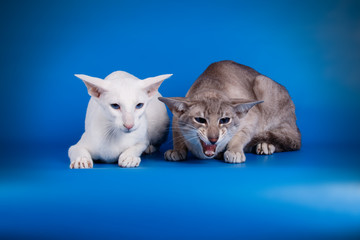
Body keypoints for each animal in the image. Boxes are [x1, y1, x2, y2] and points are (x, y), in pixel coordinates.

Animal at [160, 60, 300, 163]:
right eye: (200, 120)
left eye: (224, 120)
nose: (213, 139)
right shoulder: (175, 120)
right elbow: (177, 136)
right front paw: (177, 151)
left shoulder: (251, 119)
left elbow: (240, 136)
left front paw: (234, 151)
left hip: (263, 84)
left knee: (291, 140)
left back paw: (265, 145)